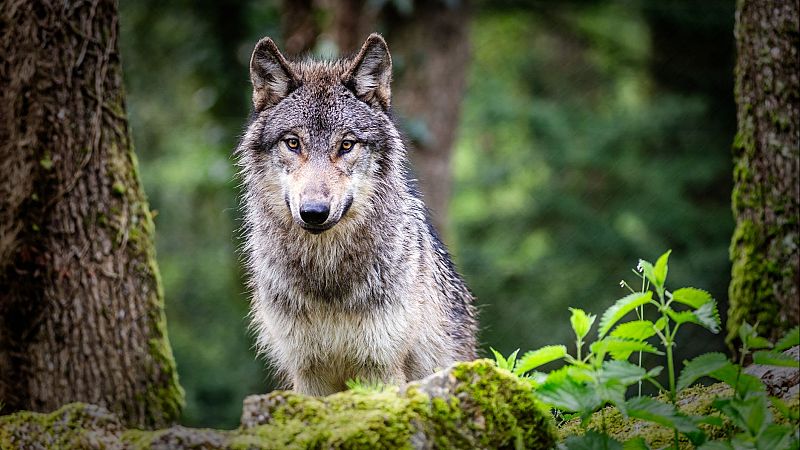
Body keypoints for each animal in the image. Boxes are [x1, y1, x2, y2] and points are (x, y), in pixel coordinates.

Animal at [236, 33, 477, 396]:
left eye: (346, 145)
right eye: (293, 143)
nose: (314, 213)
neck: (327, 276)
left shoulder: (380, 367)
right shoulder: (307, 373)